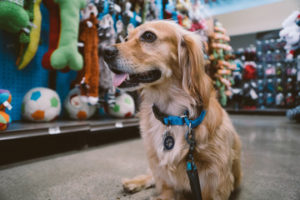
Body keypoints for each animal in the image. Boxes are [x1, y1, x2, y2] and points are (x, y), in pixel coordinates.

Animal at [103, 20, 241, 200]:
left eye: (148, 36)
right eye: (126, 39)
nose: (105, 51)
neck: (174, 114)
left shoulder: (216, 179)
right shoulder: (163, 171)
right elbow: (165, 189)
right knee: (152, 176)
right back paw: (134, 182)